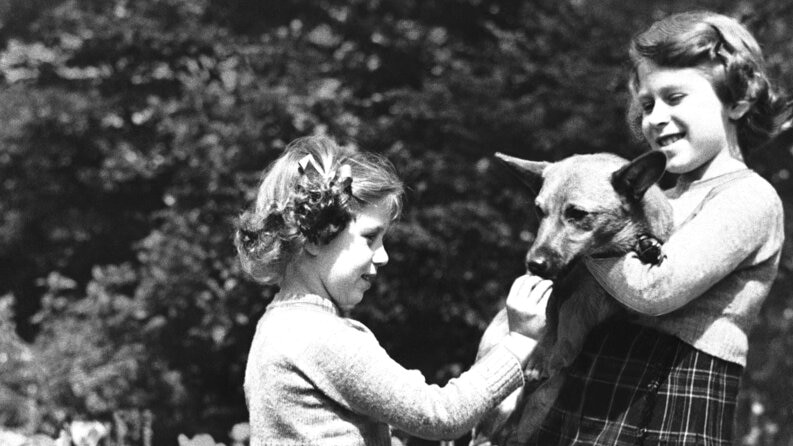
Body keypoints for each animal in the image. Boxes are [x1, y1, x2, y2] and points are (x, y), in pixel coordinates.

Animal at [474, 151, 672, 446]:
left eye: (577, 214)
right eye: (539, 211)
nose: (534, 264)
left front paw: (649, 247)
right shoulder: (555, 289)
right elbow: (551, 314)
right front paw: (542, 354)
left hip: (537, 412)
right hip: (502, 407)